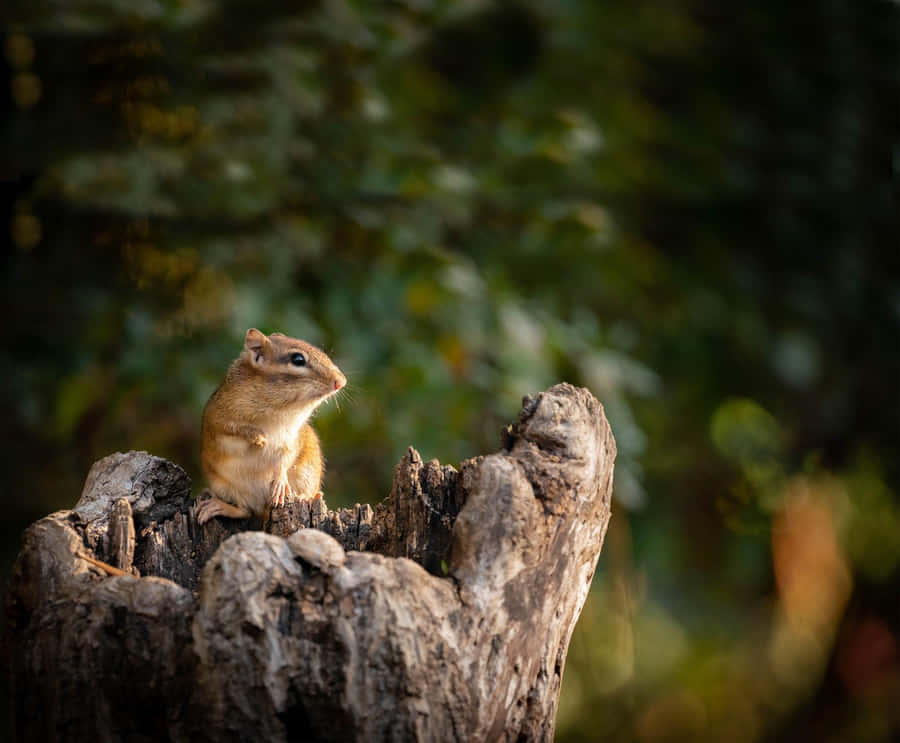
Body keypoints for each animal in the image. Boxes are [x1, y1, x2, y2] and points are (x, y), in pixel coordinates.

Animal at [195, 328, 346, 525]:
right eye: (298, 359)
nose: (341, 382)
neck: (280, 412)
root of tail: (264, 508)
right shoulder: (217, 418)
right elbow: (232, 428)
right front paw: (257, 437)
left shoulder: (290, 439)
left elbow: (284, 460)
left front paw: (280, 482)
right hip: (225, 487)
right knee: (245, 510)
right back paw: (217, 506)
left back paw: (306, 497)